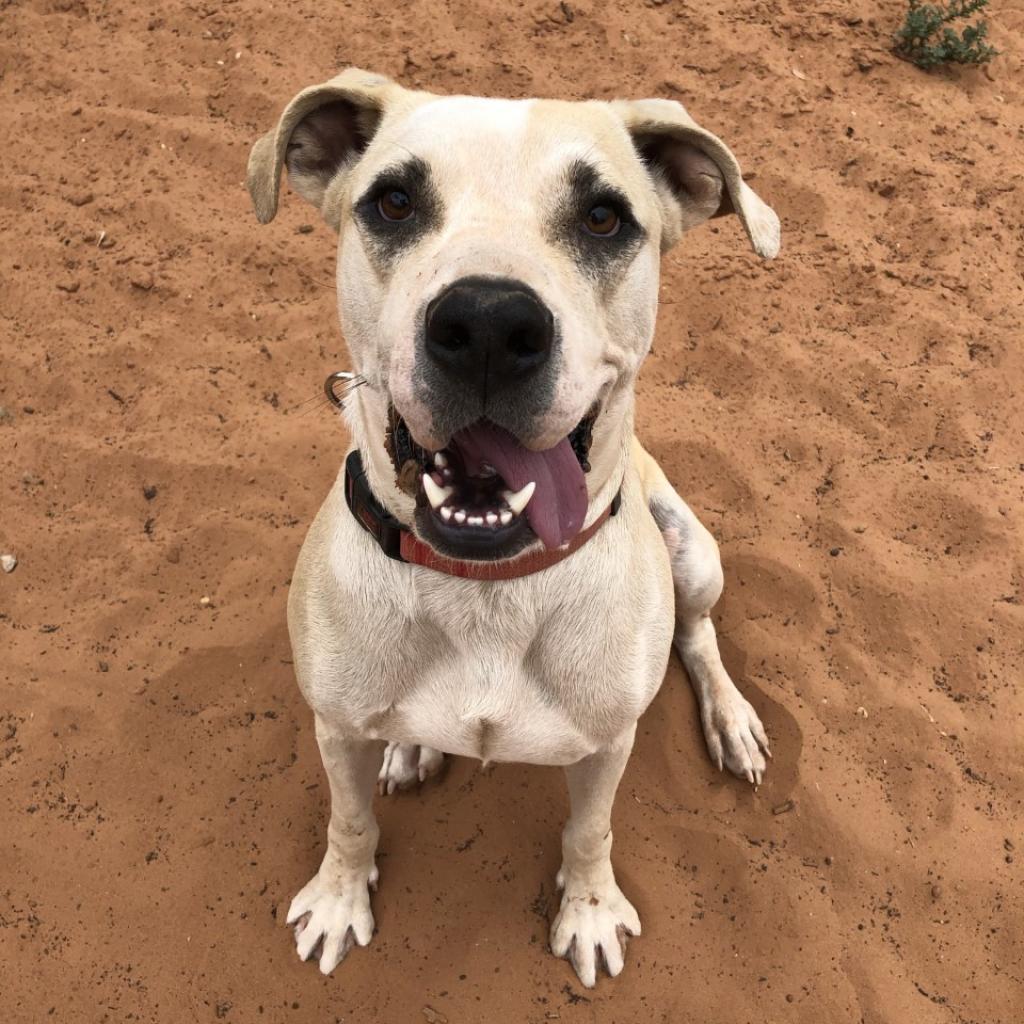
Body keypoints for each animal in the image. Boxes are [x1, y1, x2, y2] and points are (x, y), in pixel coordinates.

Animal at [245, 68, 774, 987]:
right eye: (393, 203)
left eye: (603, 217)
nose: (488, 323)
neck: (484, 589)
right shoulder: (336, 727)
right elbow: (349, 822)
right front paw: (341, 899)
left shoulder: (606, 745)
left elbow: (590, 832)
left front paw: (589, 911)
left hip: (694, 553)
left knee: (700, 633)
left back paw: (732, 719)